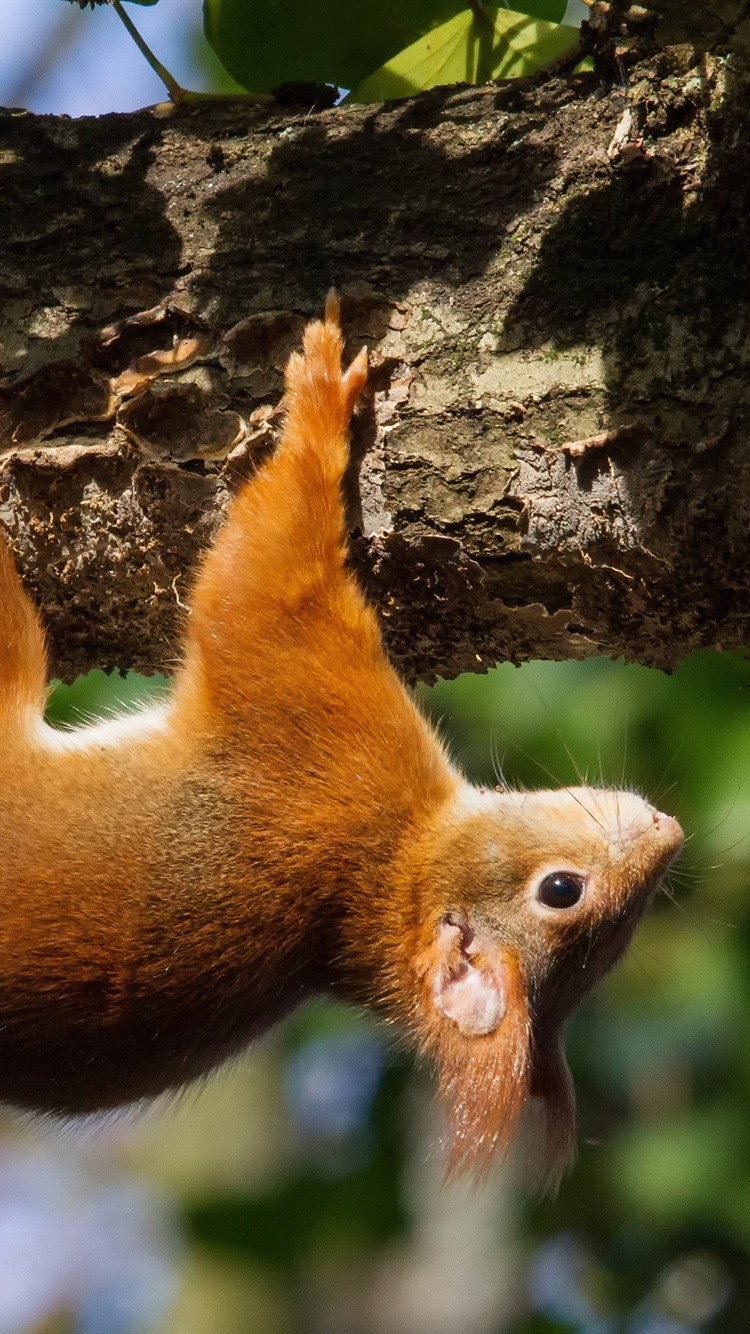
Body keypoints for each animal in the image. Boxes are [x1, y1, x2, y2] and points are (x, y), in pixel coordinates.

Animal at [0, 300, 680, 1179]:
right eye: (563, 891)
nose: (670, 827)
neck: (393, 866)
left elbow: (266, 581)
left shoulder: (328, 731)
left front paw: (320, 400)